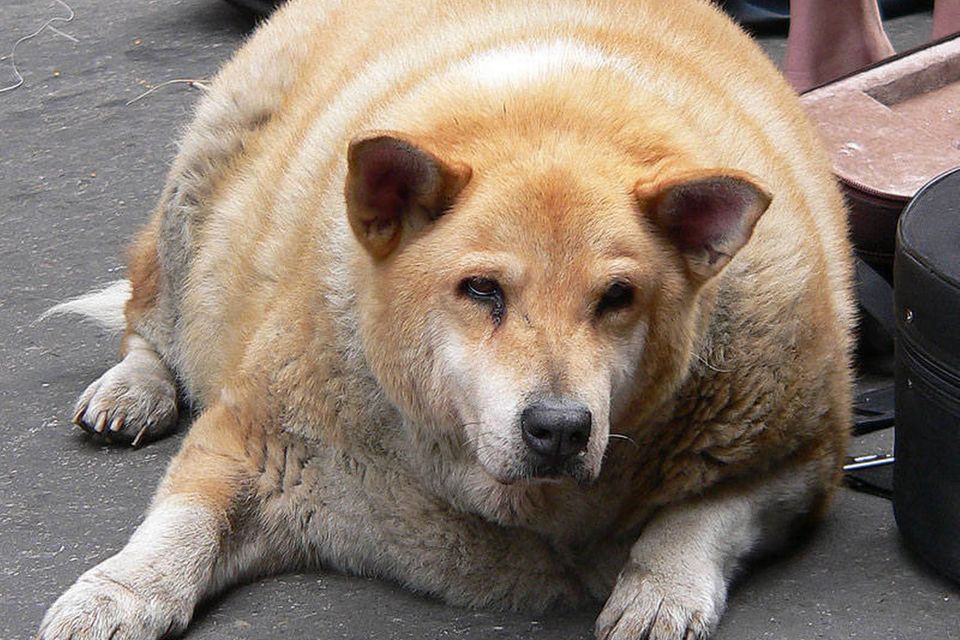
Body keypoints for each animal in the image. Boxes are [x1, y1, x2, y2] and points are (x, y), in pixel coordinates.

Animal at [38, 0, 854, 638]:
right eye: (482, 290)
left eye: (617, 298)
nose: (560, 429)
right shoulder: (257, 438)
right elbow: (182, 522)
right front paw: (120, 593)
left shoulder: (801, 459)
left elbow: (699, 516)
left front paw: (661, 588)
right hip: (200, 184)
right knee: (148, 316)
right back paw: (135, 386)